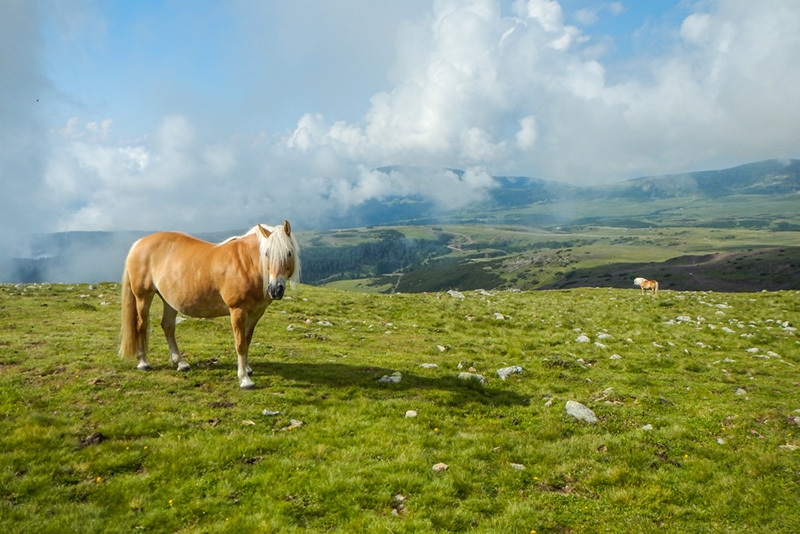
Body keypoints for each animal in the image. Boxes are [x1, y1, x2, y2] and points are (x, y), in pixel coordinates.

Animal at [120, 220, 302, 392]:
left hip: (169, 300)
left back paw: (181, 363)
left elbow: (247, 340)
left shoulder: (256, 313)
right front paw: (244, 380)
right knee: (141, 325)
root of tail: (139, 243)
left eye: (289, 253)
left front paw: (248, 369)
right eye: (266, 253)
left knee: (168, 326)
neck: (247, 264)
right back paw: (143, 363)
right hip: (143, 297)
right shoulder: (238, 311)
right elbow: (240, 344)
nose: (275, 290)